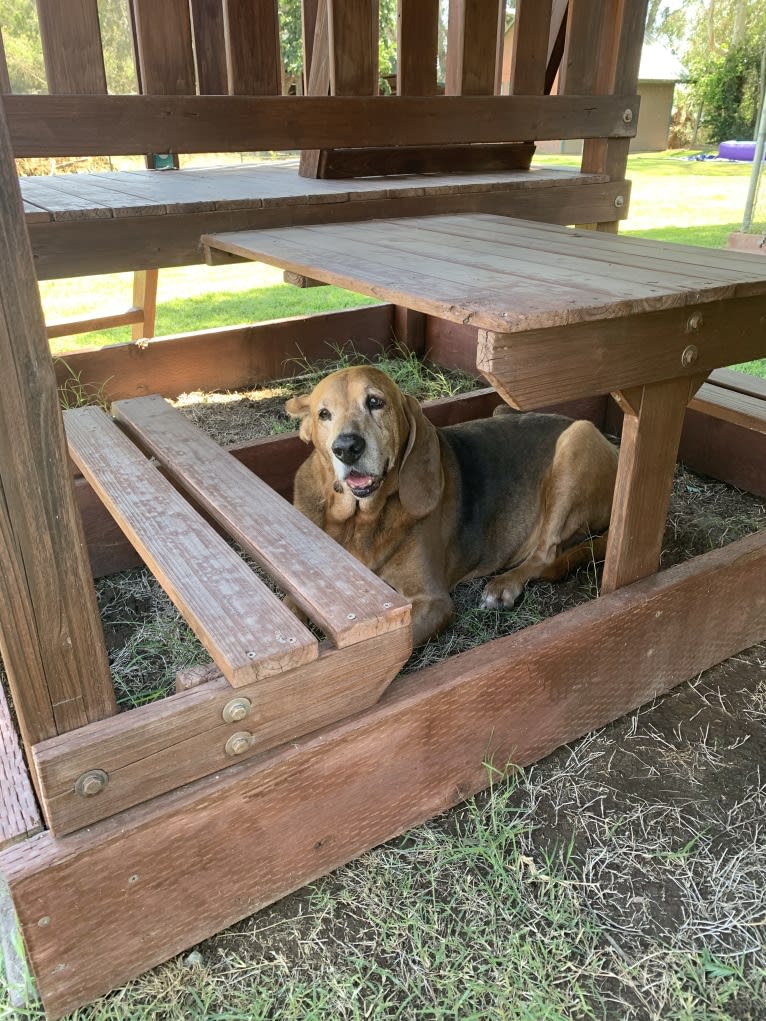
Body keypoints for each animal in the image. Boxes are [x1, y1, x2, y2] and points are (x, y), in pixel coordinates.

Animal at [285, 367, 616, 645]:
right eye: (324, 414)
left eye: (375, 402)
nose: (346, 448)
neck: (361, 519)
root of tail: (615, 449)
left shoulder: (433, 602)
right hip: (502, 410)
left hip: (578, 439)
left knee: (547, 554)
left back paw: (504, 585)